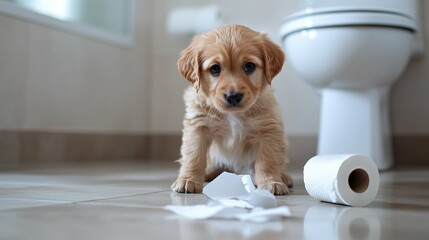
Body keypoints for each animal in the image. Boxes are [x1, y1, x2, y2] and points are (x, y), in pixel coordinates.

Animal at [171, 23, 290, 195]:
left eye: (249, 66)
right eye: (215, 69)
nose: (233, 96)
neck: (233, 115)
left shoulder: (269, 129)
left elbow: (268, 160)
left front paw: (270, 182)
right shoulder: (198, 126)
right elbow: (194, 155)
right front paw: (188, 180)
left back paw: (284, 177)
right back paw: (208, 173)